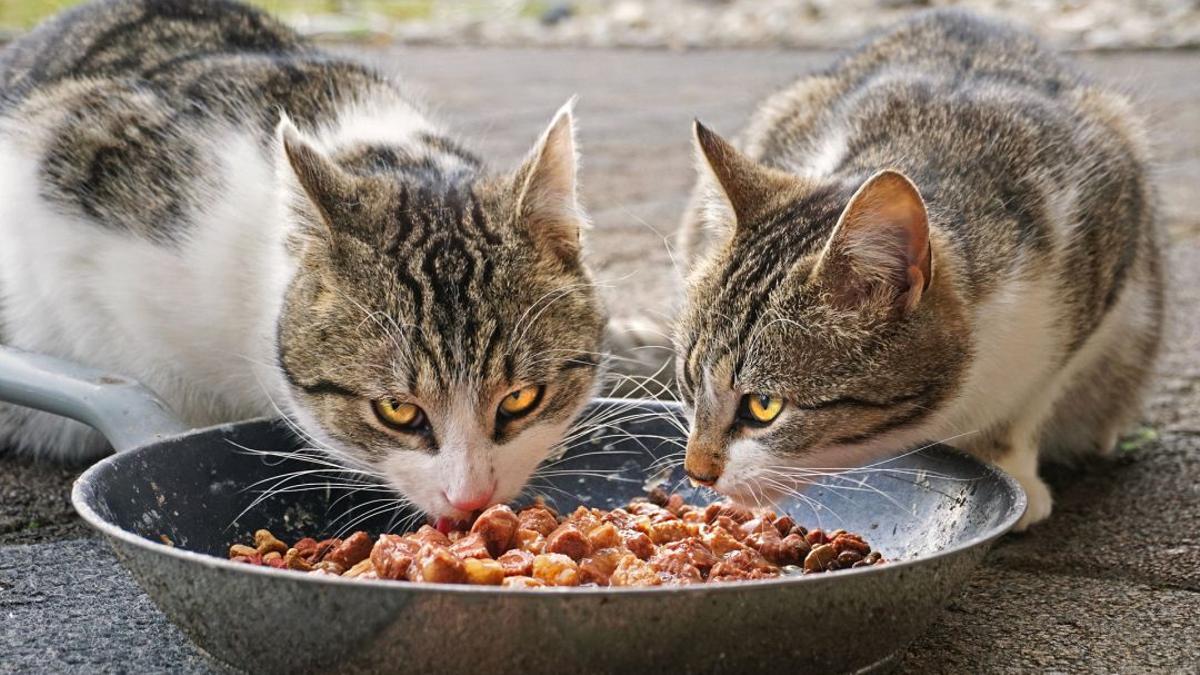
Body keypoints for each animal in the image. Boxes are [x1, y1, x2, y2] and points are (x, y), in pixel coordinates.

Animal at [672, 7, 1156, 528]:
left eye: (764, 406)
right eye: (689, 382)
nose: (697, 472)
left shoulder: (1105, 238)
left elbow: (1029, 401)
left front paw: (1011, 466)